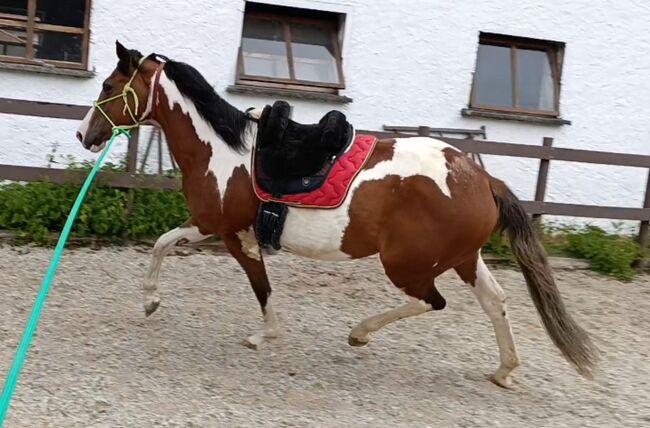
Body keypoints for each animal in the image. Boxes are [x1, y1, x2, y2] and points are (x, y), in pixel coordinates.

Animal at [76, 41, 597, 388]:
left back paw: (359, 334)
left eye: (109, 84)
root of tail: (481, 178)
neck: (224, 151)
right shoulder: (210, 226)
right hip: (463, 258)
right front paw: (150, 301)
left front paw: (263, 335)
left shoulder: (229, 233)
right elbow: (163, 244)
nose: (84, 135)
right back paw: (504, 369)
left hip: (407, 263)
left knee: (431, 301)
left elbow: (257, 285)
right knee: (495, 301)